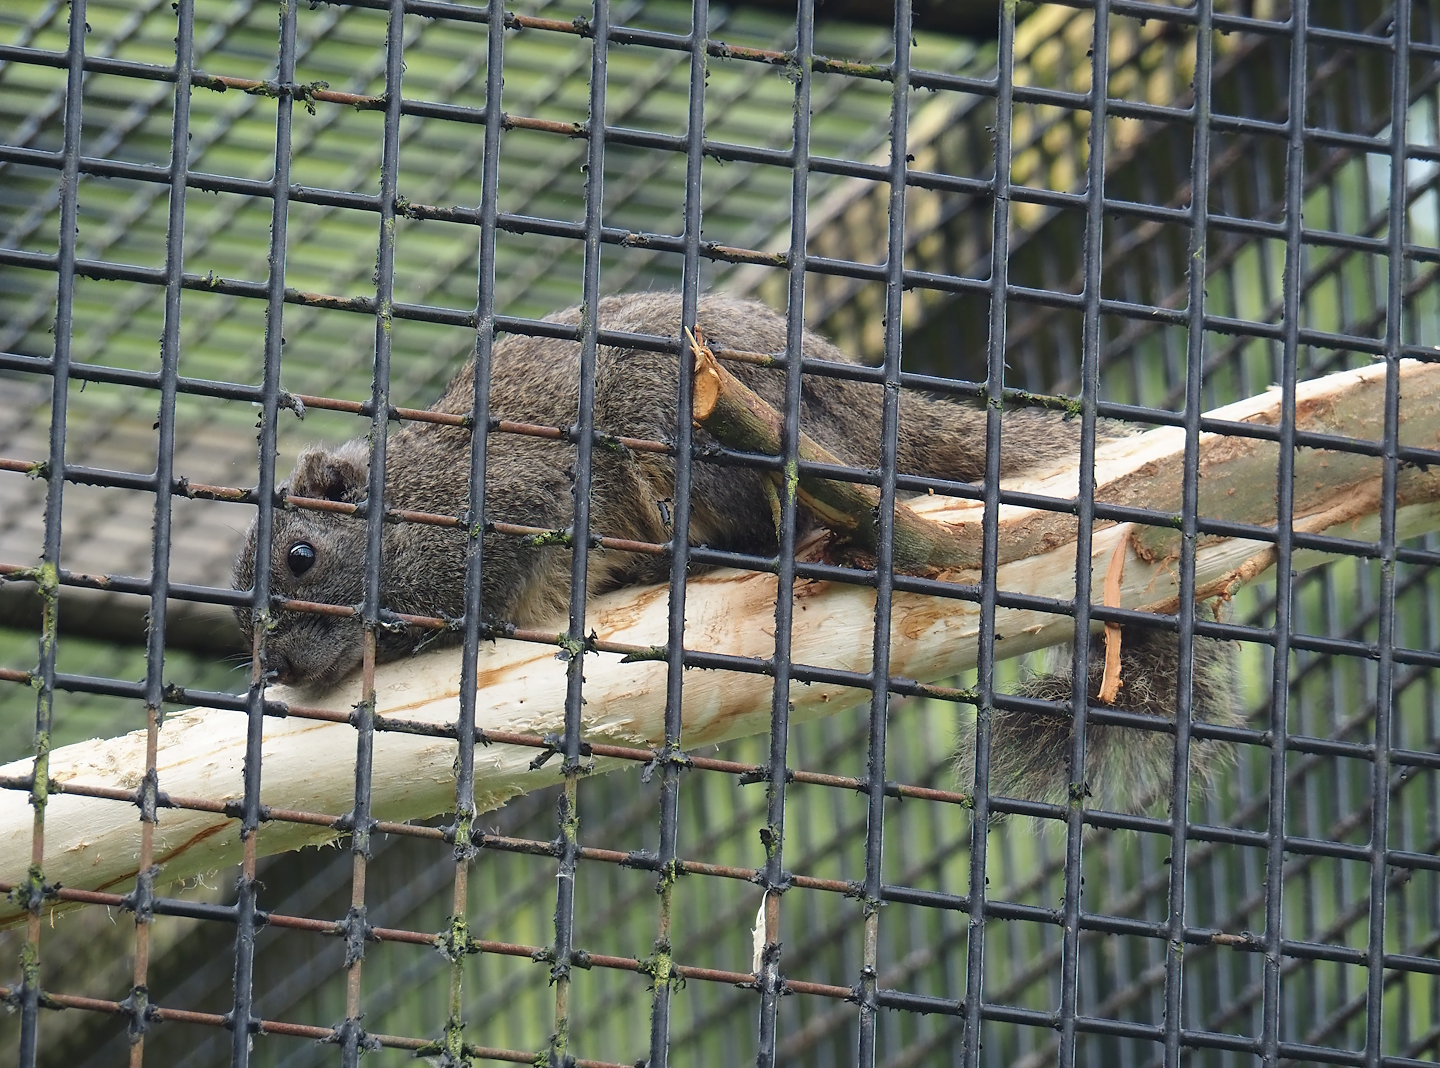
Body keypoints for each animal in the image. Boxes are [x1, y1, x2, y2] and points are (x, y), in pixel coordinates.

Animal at [233, 292, 1238, 812]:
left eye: (299, 558)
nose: (277, 666)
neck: (410, 503)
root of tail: (866, 416)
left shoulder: (512, 502)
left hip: (690, 431)